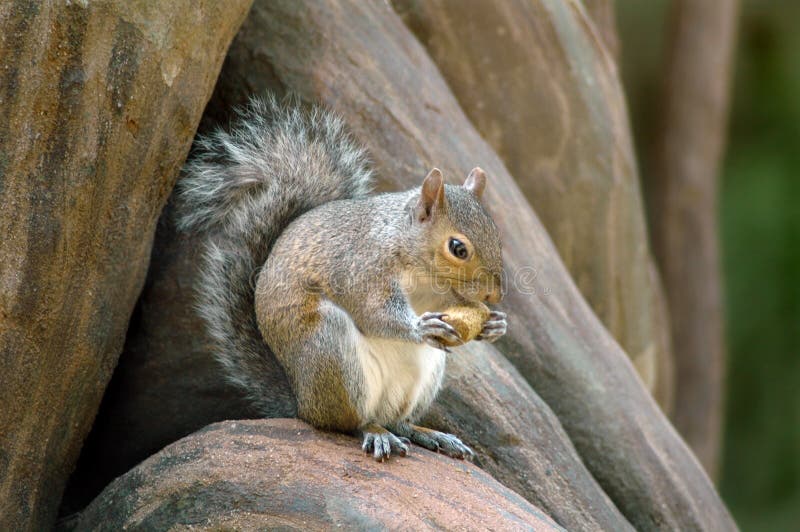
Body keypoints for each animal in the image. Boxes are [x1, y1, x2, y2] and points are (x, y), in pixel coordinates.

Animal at [179, 96, 510, 462]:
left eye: (496, 235)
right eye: (457, 248)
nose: (495, 295)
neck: (417, 264)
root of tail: (301, 403)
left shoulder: (442, 296)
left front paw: (494, 324)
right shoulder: (362, 268)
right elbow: (375, 313)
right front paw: (420, 327)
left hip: (426, 372)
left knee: (397, 420)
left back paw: (427, 433)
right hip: (330, 349)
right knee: (349, 422)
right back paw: (374, 433)